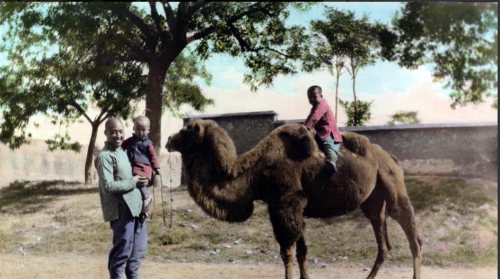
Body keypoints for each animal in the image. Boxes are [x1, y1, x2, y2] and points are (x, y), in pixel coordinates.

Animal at [167, 119, 422, 279]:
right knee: (383, 242)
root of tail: (390, 157)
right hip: (373, 201)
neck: (255, 172)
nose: (168, 140)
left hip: (393, 186)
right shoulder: (289, 208)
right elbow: (301, 251)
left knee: (413, 235)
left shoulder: (287, 203)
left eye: (187, 130)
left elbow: (287, 252)